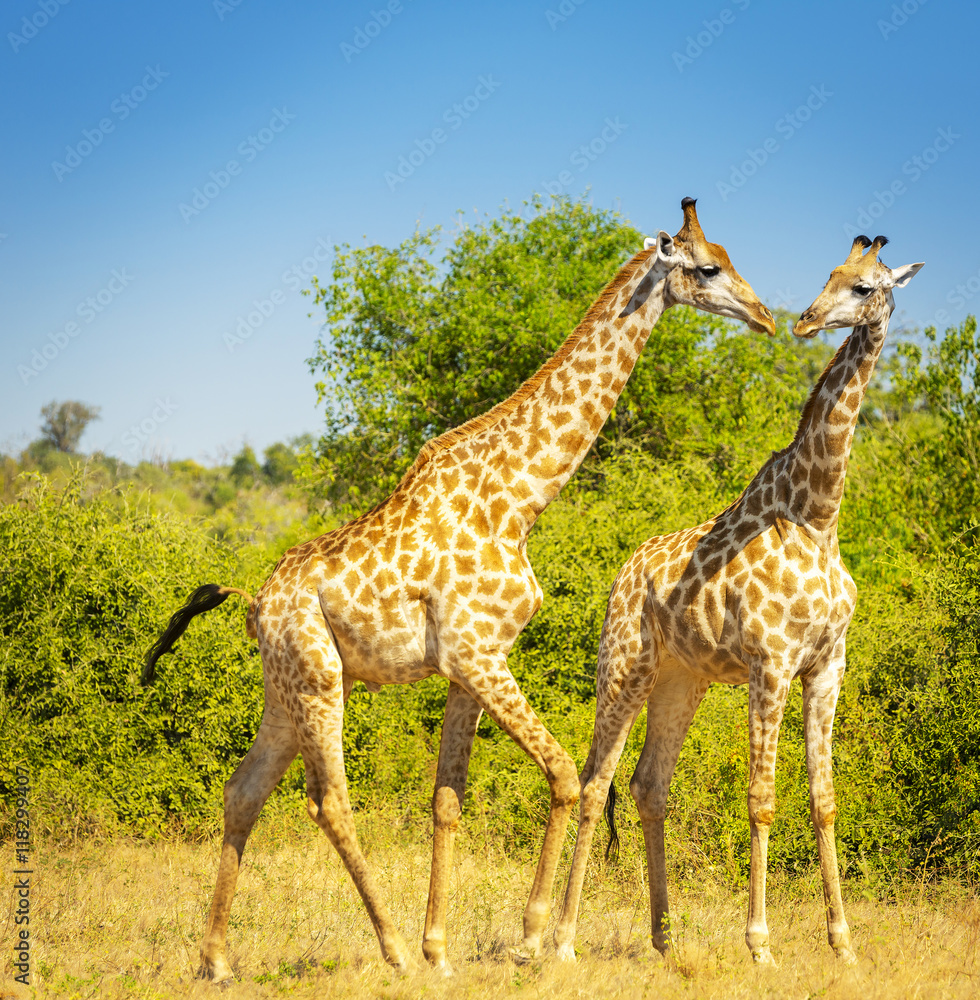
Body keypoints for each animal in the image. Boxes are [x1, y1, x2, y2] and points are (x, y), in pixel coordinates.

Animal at [143, 198, 775, 981]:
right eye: (709, 267)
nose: (765, 315)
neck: (521, 496)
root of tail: (257, 603)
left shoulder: (466, 666)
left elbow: (448, 797)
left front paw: (441, 948)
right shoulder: (477, 653)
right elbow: (563, 775)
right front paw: (529, 937)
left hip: (286, 687)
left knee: (243, 790)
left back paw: (218, 959)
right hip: (319, 679)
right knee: (329, 802)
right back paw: (388, 950)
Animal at [551, 234, 924, 966]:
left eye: (863, 286)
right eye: (832, 274)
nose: (805, 321)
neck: (818, 516)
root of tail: (621, 576)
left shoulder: (827, 666)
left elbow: (823, 799)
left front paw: (843, 944)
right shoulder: (771, 664)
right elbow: (761, 799)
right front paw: (760, 945)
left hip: (681, 678)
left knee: (649, 784)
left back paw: (665, 940)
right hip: (624, 668)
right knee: (594, 782)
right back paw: (560, 940)